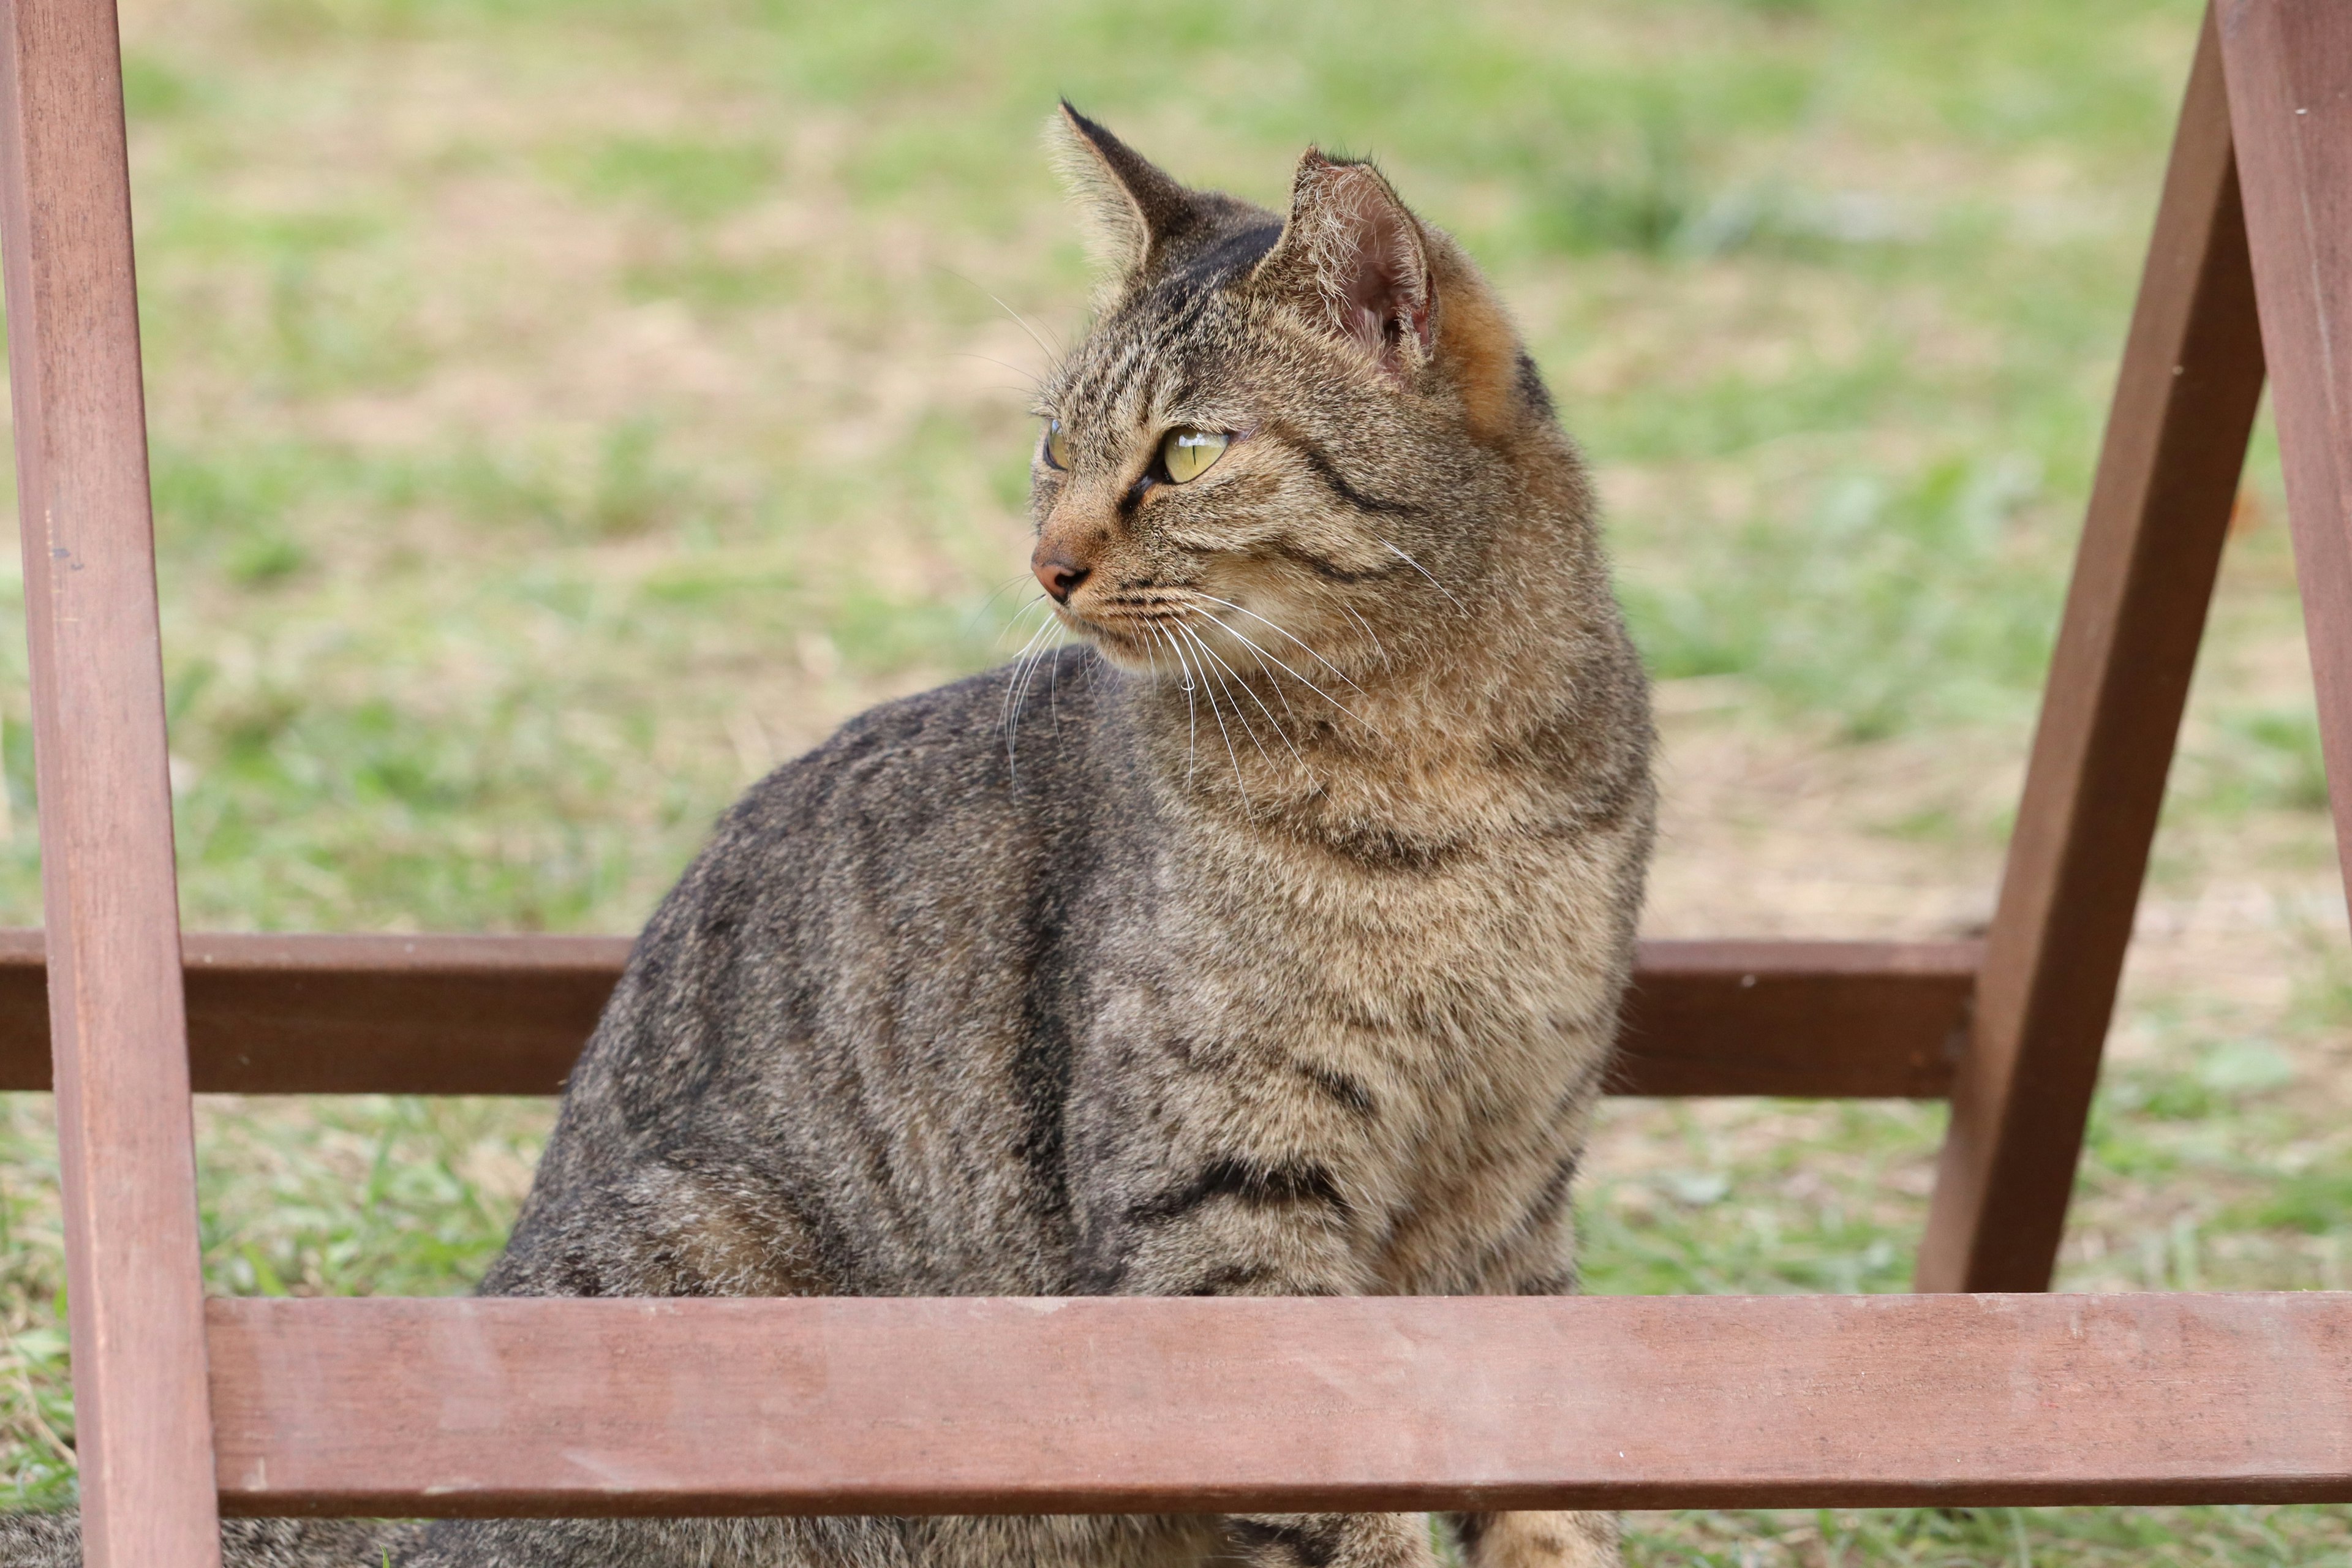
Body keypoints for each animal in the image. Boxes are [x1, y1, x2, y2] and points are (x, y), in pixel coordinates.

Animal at [0, 104, 1656, 1561]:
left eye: (1184, 452)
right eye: (1055, 445)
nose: (1047, 561)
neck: (1442, 765)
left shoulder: (1511, 1198)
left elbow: (1547, 1494)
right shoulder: (1229, 1209)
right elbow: (1353, 1496)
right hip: (728, 1262)